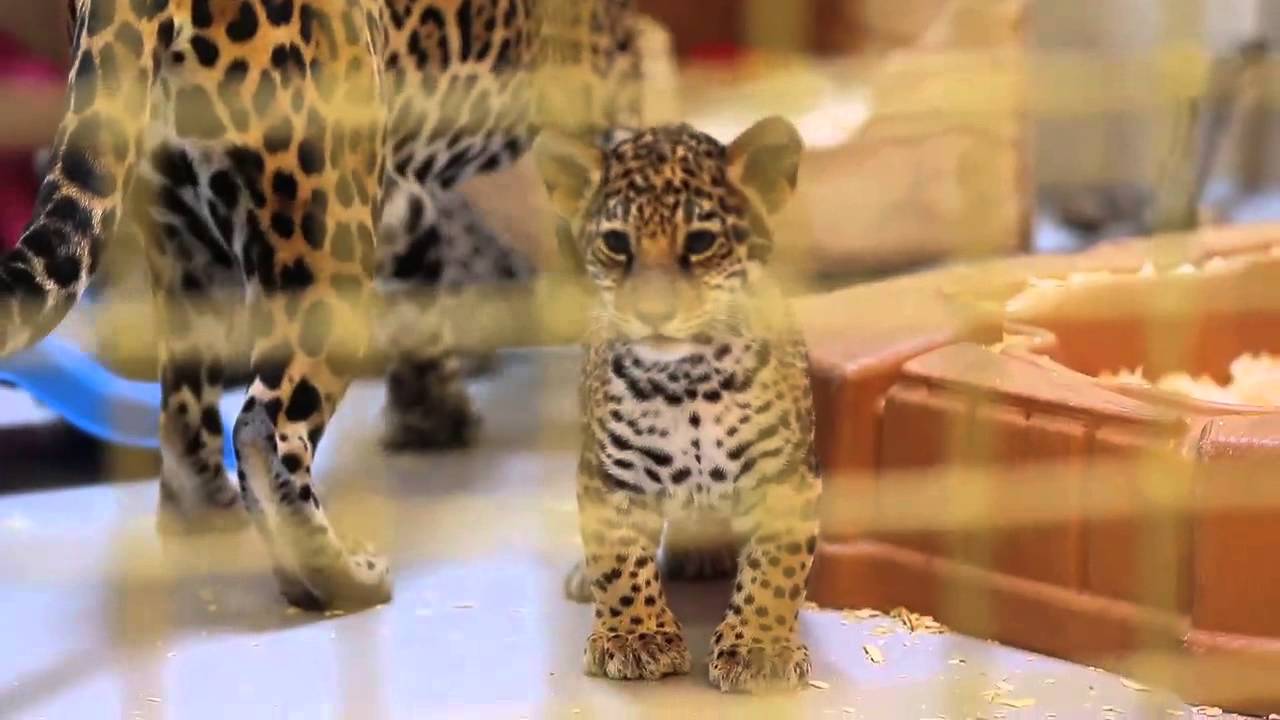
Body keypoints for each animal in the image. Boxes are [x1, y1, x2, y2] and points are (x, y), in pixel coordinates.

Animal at [0, 0, 648, 611]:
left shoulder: (394, 195)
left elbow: (417, 290)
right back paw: (337, 577)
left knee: (183, 411)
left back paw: (204, 518)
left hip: (186, 235)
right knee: (264, 426)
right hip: (325, 231)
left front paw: (431, 417)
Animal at [533, 118, 823, 692]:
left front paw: (760, 648)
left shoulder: (786, 477)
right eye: (616, 243)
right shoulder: (610, 478)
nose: (653, 311)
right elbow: (620, 562)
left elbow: (775, 571)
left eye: (702, 241)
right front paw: (635, 637)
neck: (689, 384)